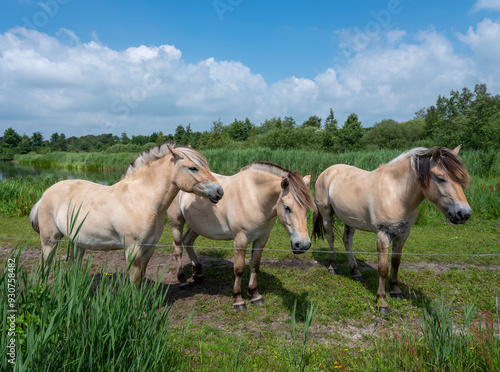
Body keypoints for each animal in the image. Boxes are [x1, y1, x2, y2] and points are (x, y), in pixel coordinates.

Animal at [30, 142, 224, 284]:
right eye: (193, 168)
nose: (219, 191)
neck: (141, 200)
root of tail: (45, 193)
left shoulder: (149, 248)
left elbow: (141, 278)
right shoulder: (133, 249)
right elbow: (134, 280)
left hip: (78, 242)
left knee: (73, 266)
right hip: (50, 241)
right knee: (43, 265)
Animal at [168, 161, 314, 310]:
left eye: (307, 209)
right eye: (287, 207)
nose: (303, 245)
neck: (254, 197)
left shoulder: (262, 238)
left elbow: (255, 265)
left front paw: (255, 295)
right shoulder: (240, 239)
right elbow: (239, 269)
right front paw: (238, 299)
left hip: (196, 226)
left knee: (188, 241)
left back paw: (197, 273)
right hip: (176, 223)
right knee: (177, 248)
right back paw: (183, 281)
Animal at [312, 146, 472, 314]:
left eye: (460, 179)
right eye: (441, 178)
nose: (464, 214)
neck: (396, 194)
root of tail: (328, 171)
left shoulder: (403, 235)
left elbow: (396, 262)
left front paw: (395, 290)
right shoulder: (383, 235)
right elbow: (383, 268)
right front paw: (382, 301)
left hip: (349, 219)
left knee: (347, 241)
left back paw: (356, 272)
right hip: (327, 214)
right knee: (331, 238)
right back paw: (332, 267)